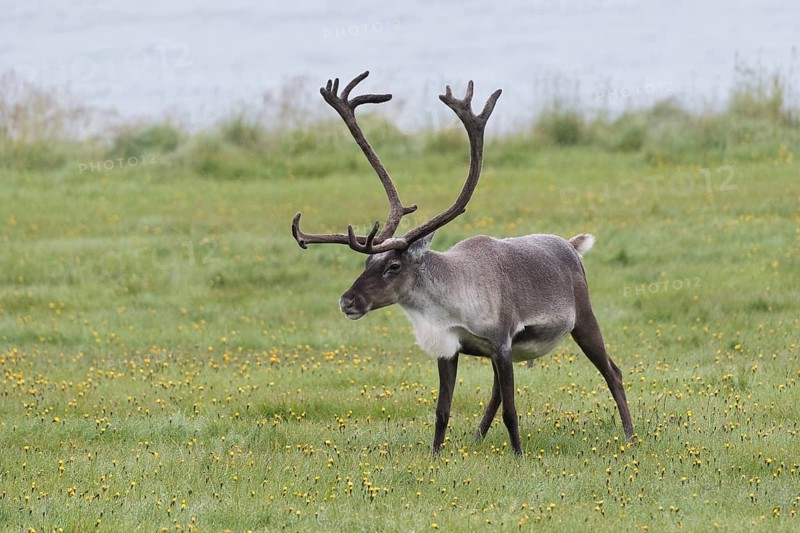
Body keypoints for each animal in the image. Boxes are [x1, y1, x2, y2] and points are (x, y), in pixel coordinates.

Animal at [291, 71, 633, 456]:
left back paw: (630, 435)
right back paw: (477, 437)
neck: (451, 304)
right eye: (366, 264)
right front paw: (435, 456)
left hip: (584, 319)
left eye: (393, 266)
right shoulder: (451, 349)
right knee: (497, 392)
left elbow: (512, 411)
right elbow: (443, 410)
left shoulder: (501, 342)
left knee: (613, 372)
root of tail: (572, 246)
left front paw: (518, 456)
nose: (347, 301)